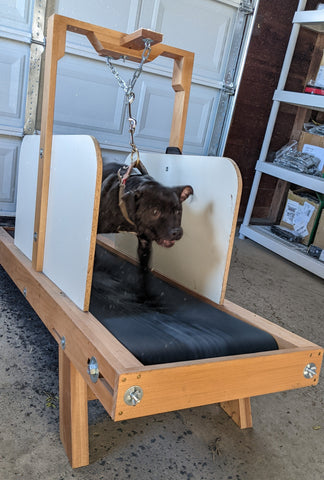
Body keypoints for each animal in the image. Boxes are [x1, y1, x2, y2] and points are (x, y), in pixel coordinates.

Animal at [96, 161, 192, 296]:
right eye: (155, 211)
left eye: (178, 211)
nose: (177, 232)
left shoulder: (145, 245)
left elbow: (144, 270)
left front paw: (144, 295)